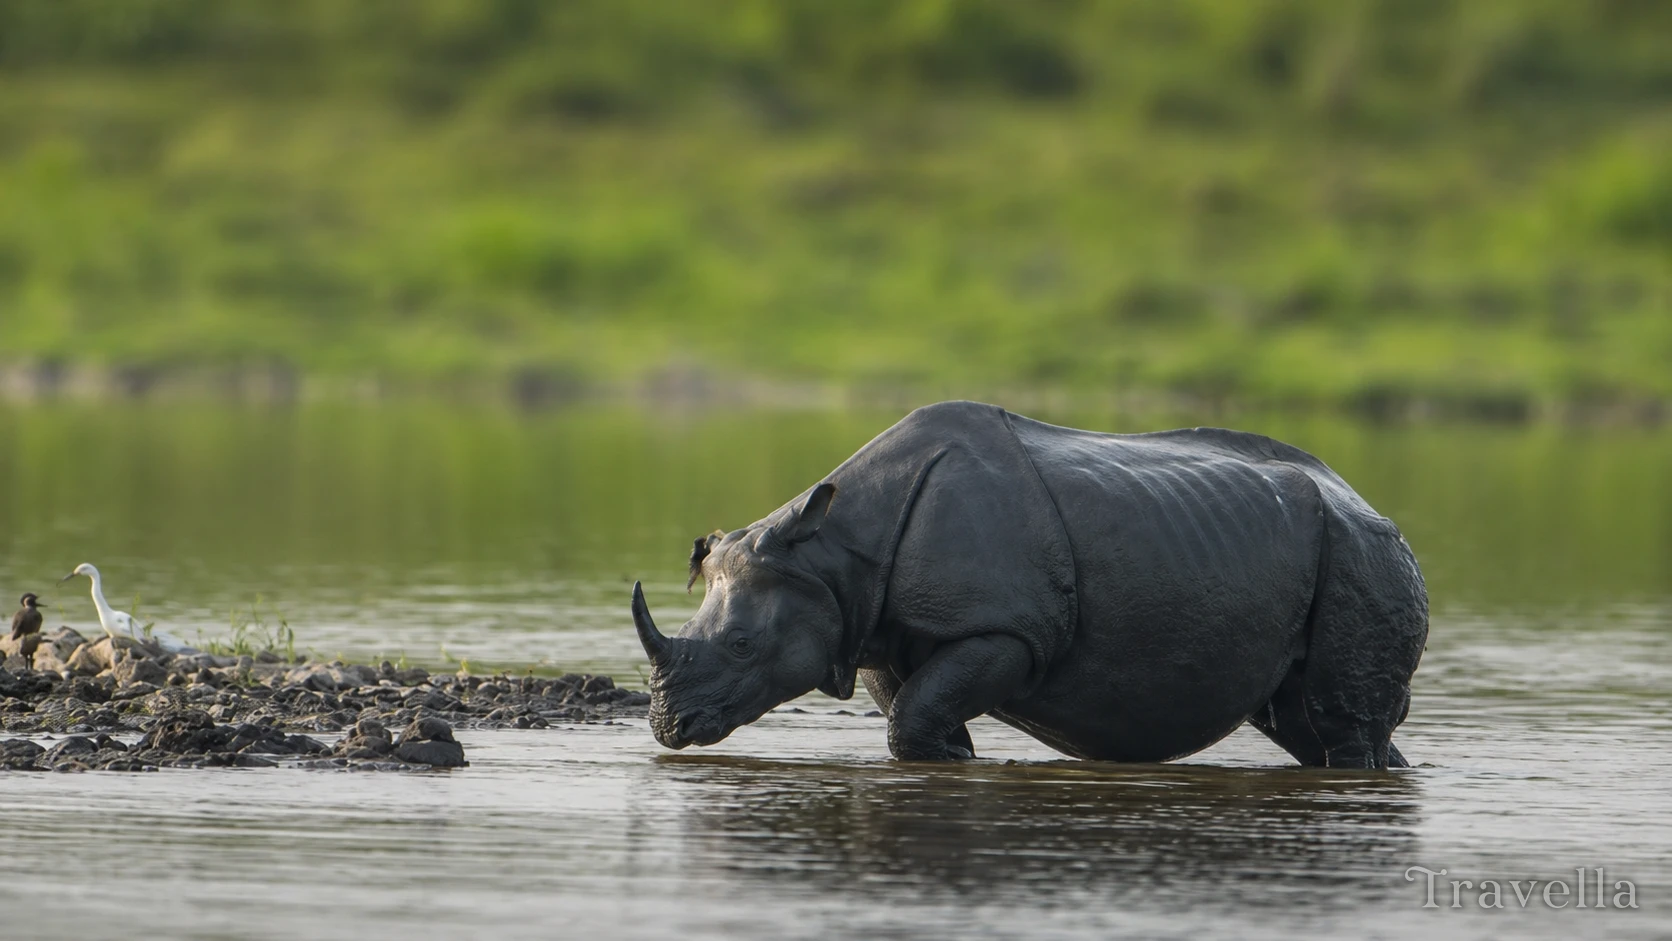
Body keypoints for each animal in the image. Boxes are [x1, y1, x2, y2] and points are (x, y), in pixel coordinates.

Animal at [631, 401, 1427, 768]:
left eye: (741, 645)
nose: (669, 727)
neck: (832, 555)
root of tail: (1368, 504)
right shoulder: (880, 631)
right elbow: (917, 711)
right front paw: (955, 761)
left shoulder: (1008, 629)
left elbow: (915, 713)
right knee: (1302, 723)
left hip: (1364, 553)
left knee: (1338, 726)